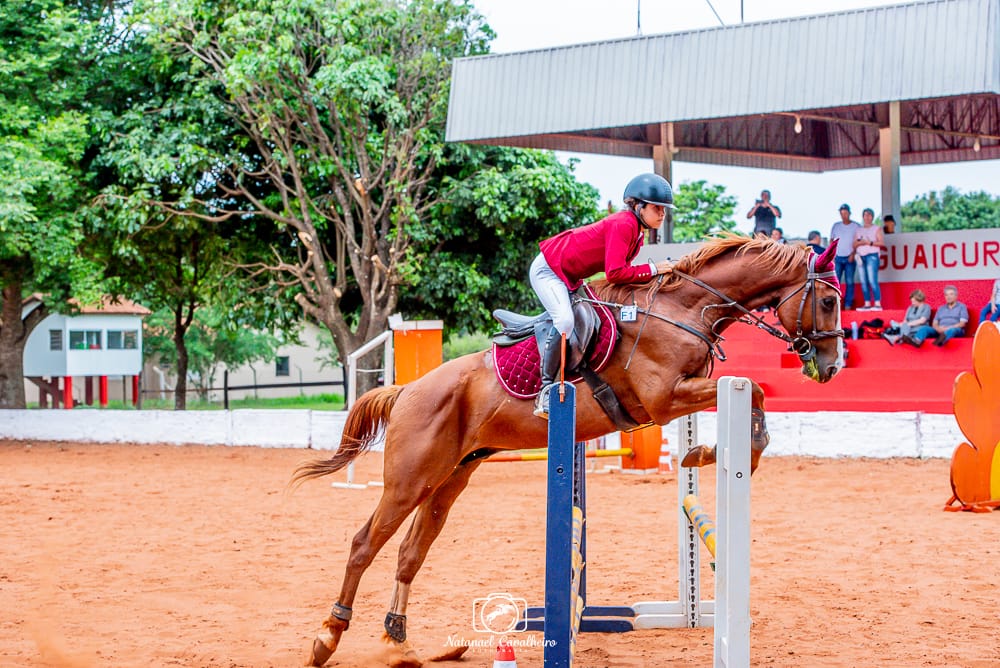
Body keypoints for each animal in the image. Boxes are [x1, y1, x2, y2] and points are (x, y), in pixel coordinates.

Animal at [294, 234, 844, 664]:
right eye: (828, 301)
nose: (832, 367)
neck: (682, 310)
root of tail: (408, 390)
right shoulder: (665, 398)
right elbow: (755, 388)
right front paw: (713, 456)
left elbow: (756, 394)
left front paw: (710, 454)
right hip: (410, 480)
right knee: (364, 543)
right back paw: (328, 637)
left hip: (451, 477)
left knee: (411, 551)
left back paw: (400, 641)